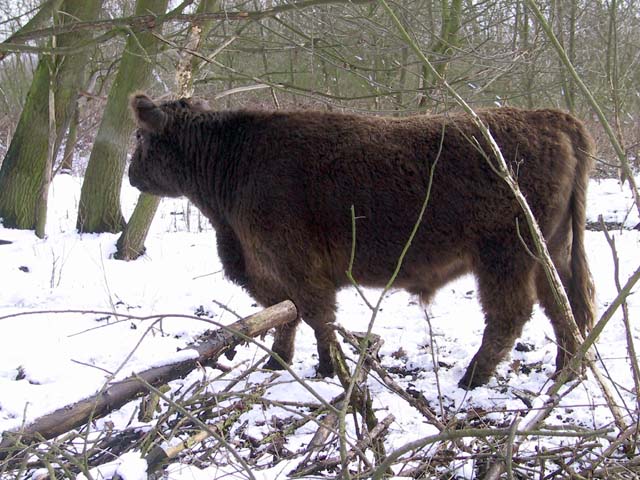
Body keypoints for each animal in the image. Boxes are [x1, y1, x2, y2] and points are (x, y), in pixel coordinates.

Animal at [129, 94, 596, 390]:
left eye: (141, 138)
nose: (131, 174)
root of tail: (551, 116)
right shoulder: (274, 270)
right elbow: (289, 317)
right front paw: (279, 363)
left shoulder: (297, 265)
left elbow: (316, 318)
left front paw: (327, 371)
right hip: (551, 252)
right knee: (567, 307)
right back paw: (566, 372)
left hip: (507, 252)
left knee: (511, 315)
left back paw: (472, 379)